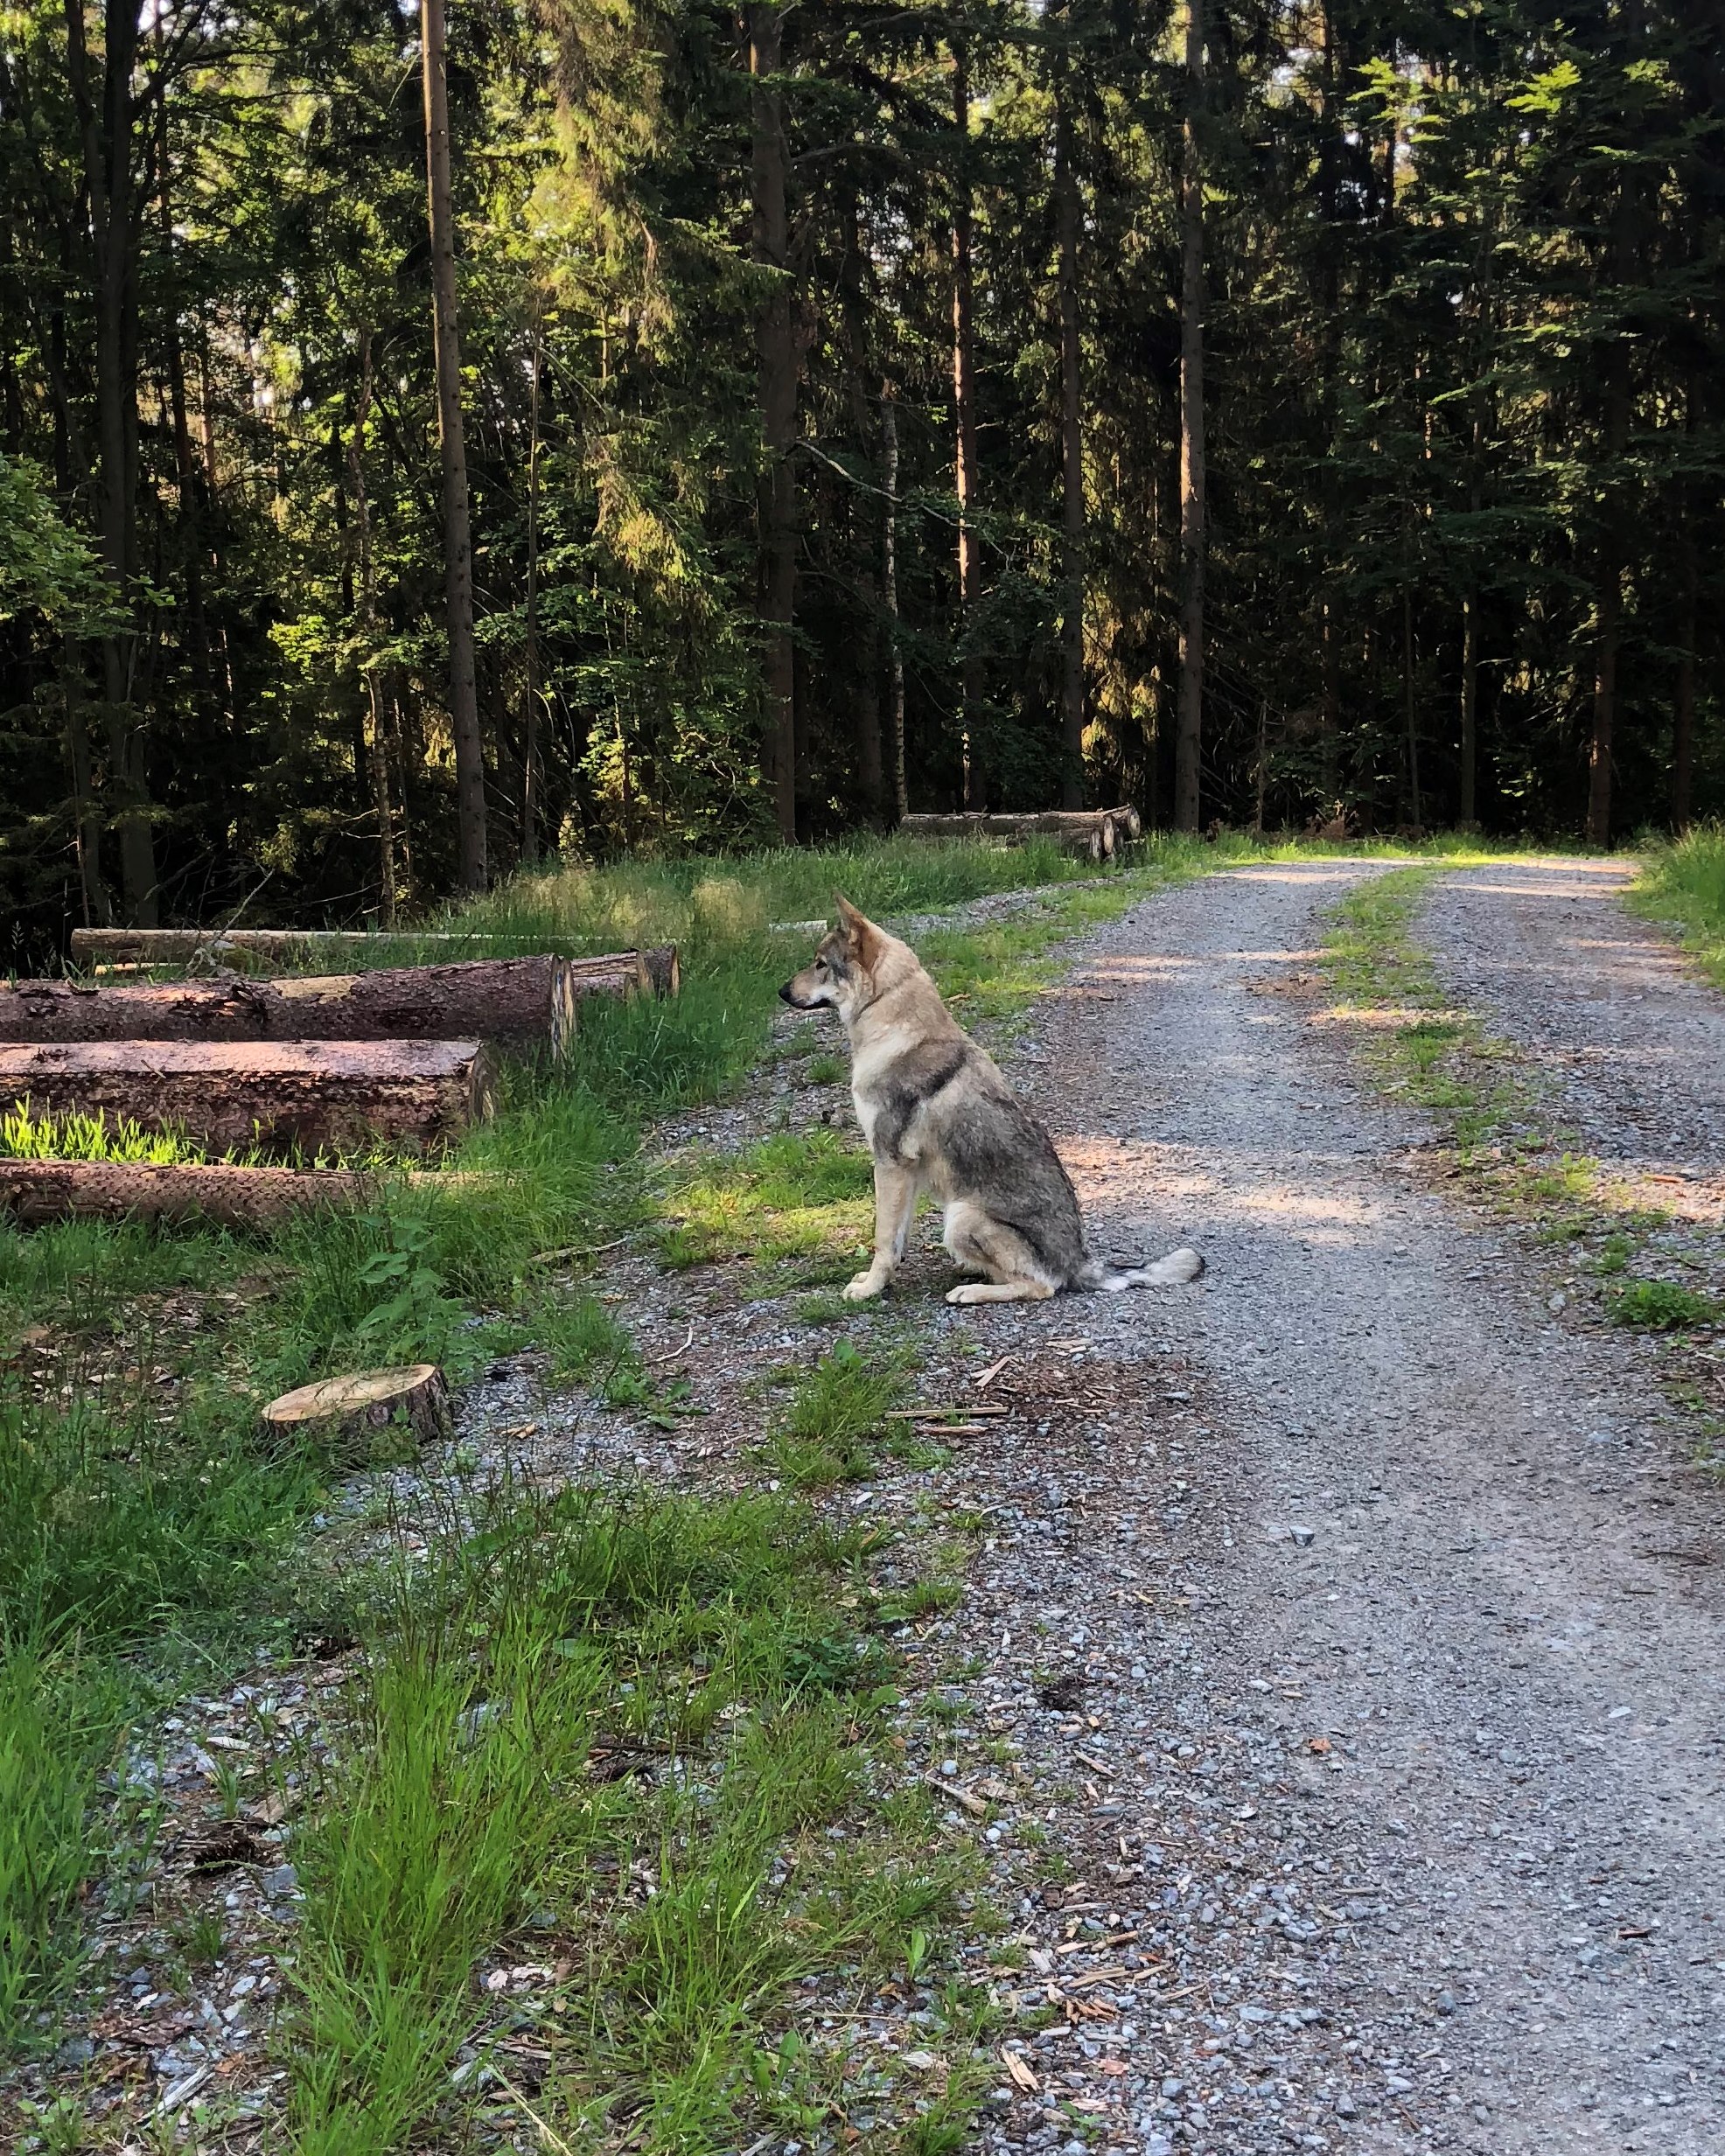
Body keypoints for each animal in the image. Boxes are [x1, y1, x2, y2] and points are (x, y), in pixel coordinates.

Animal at [780, 897, 1198, 1301]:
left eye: (820, 964)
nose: (781, 991)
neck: (894, 1025)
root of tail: (1079, 1264)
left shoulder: (890, 1162)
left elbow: (883, 1240)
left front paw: (869, 1289)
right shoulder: (904, 1172)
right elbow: (896, 1241)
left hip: (960, 1216)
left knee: (1041, 1287)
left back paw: (970, 1290)